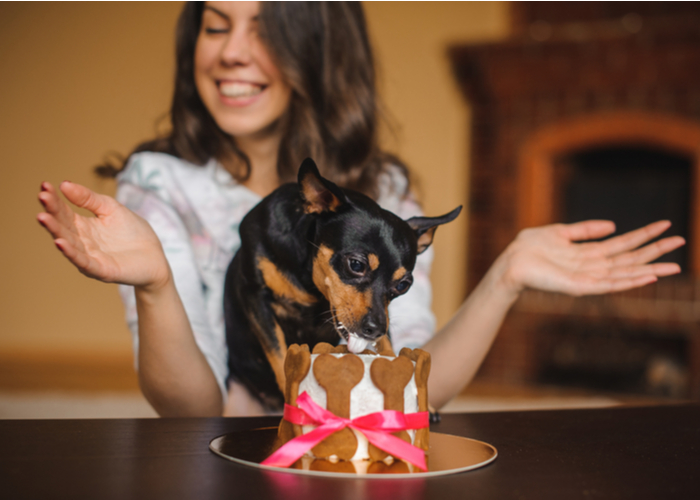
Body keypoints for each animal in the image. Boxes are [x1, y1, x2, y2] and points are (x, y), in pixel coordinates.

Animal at [224, 159, 460, 410]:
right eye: (356, 265)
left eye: (403, 286)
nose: (375, 328)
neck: (310, 283)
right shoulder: (256, 297)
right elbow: (278, 354)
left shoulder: (382, 314)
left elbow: (387, 347)